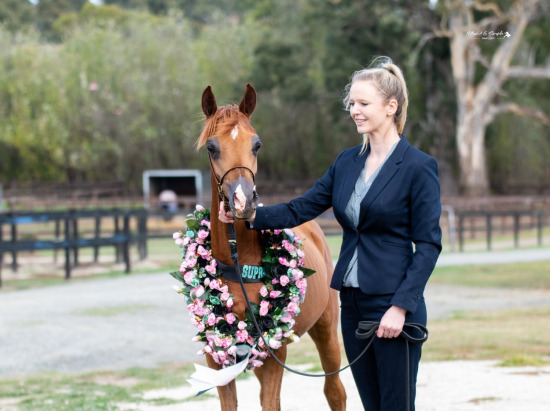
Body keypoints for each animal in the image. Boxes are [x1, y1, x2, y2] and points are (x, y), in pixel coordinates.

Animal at [196, 84, 348, 411]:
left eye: (257, 144)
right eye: (211, 147)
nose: (243, 202)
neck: (239, 263)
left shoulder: (273, 354)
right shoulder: (217, 358)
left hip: (326, 329)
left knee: (335, 391)